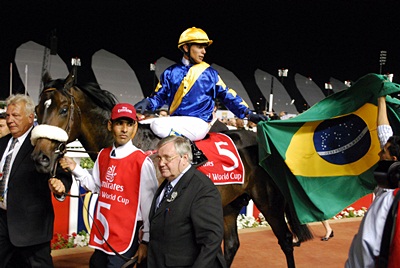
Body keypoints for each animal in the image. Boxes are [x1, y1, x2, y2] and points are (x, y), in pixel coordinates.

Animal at [32, 72, 312, 266]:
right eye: (37, 109)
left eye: (63, 109)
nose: (40, 157)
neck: (135, 144)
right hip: (229, 205)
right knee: (231, 245)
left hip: (269, 202)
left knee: (286, 242)